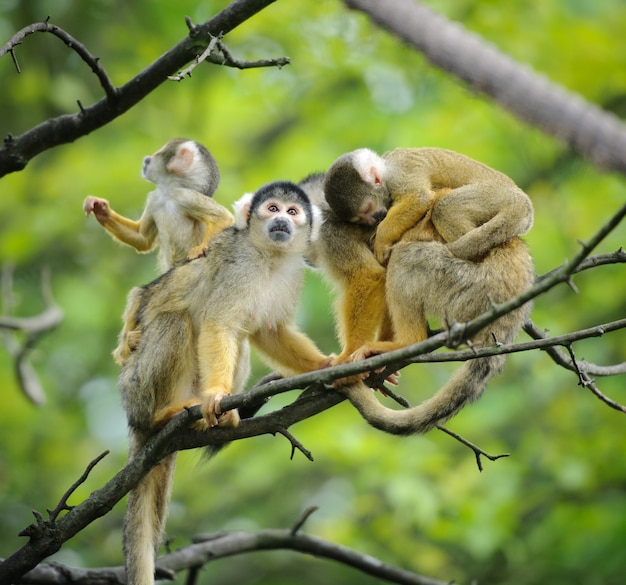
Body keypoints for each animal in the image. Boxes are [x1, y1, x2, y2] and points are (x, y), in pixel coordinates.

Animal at [80, 139, 232, 272]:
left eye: (155, 155)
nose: (146, 159)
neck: (167, 193)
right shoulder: (153, 199)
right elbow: (142, 239)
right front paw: (102, 210)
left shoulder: (185, 195)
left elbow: (224, 218)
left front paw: (201, 247)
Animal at [119, 180, 330, 584]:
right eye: (272, 208)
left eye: (292, 212)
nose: (281, 221)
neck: (267, 257)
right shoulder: (238, 267)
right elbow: (218, 324)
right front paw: (218, 394)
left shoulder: (291, 273)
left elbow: (269, 331)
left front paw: (332, 364)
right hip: (134, 387)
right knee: (177, 321)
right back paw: (165, 413)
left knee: (242, 338)